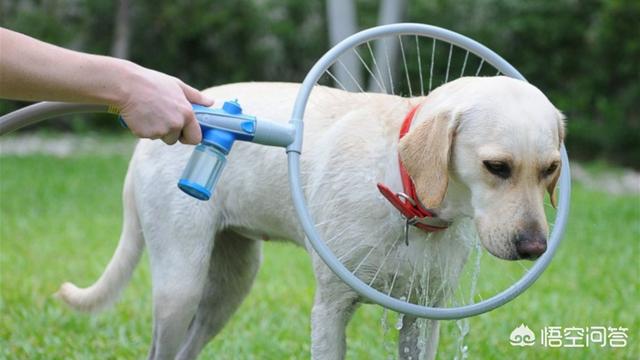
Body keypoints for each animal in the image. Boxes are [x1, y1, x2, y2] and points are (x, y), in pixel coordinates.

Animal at [56, 76, 564, 360]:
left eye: (551, 169)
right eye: (496, 167)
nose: (535, 248)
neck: (404, 195)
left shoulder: (424, 314)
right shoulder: (331, 310)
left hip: (231, 285)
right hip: (180, 286)